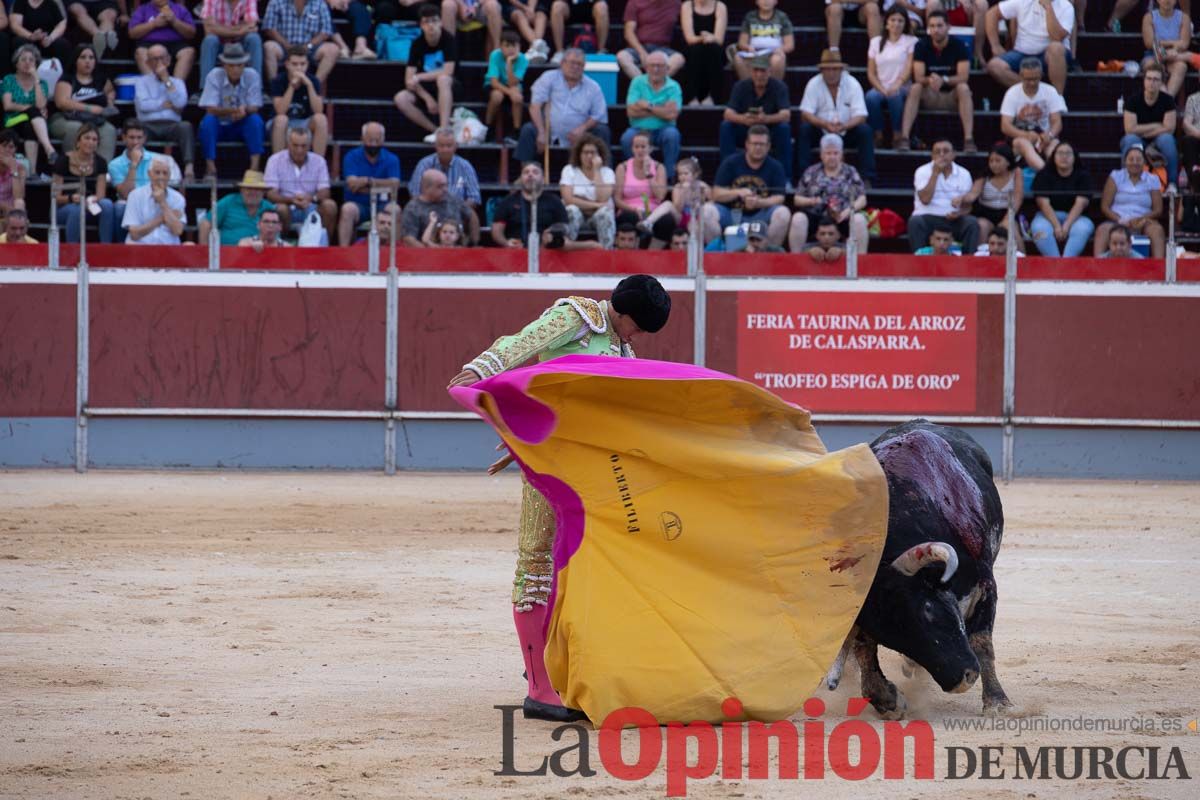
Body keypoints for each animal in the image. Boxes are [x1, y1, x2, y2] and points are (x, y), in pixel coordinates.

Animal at [830, 422, 1017, 714]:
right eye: (885, 632)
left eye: (927, 609)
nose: (961, 679)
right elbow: (864, 647)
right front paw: (886, 698)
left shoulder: (986, 586)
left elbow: (982, 641)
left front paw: (998, 703)